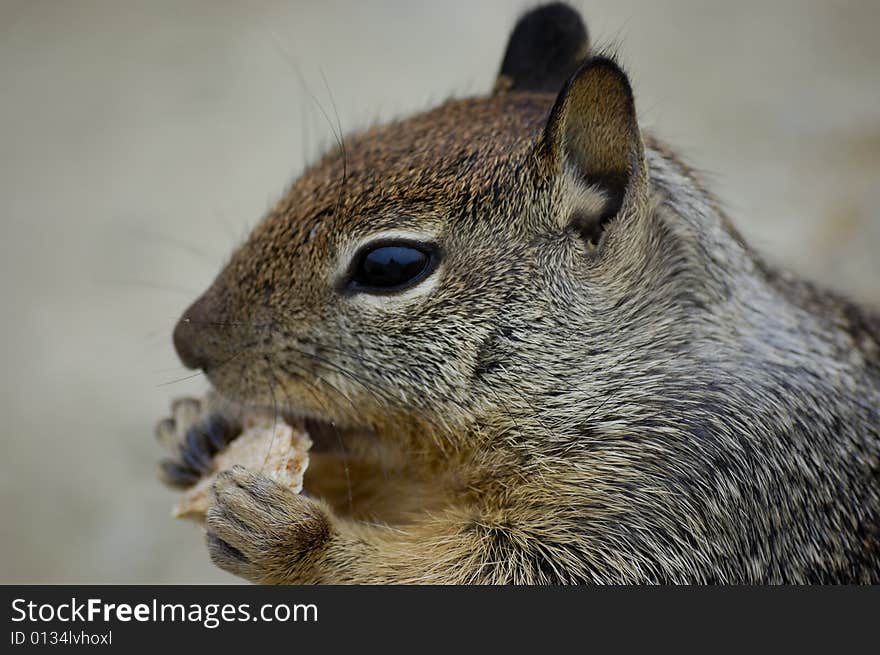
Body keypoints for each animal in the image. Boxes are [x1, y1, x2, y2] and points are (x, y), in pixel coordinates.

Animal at [158, 2, 880, 580]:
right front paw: (200, 429)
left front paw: (293, 539)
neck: (633, 375)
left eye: (390, 265)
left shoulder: (690, 499)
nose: (186, 340)